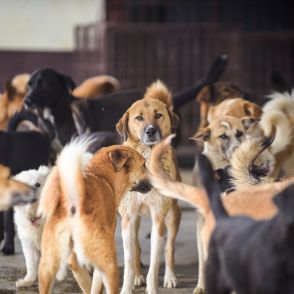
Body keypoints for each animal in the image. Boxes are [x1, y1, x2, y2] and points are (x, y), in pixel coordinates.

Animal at [115, 80, 181, 294]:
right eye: (139, 118)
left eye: (158, 115)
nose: (150, 131)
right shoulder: (127, 218)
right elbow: (129, 259)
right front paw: (127, 286)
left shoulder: (159, 217)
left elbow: (155, 261)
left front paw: (153, 288)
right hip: (135, 221)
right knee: (136, 248)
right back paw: (138, 276)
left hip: (173, 215)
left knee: (169, 249)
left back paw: (170, 277)